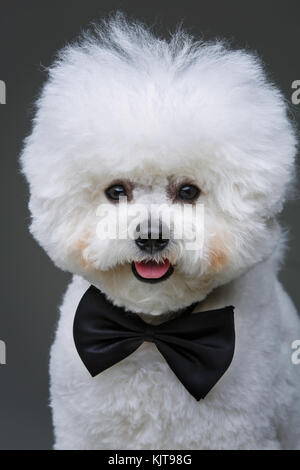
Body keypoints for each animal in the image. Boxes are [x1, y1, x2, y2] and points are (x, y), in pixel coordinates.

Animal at [21, 13, 300, 448]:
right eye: (117, 191)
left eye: (188, 192)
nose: (151, 236)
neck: (153, 334)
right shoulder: (83, 432)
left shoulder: (240, 435)